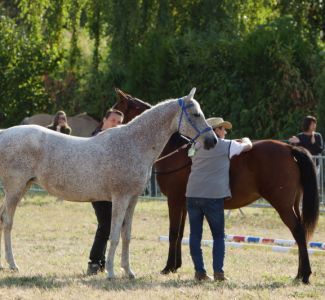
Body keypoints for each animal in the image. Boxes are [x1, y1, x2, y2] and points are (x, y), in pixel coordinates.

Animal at [0, 88, 218, 278]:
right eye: (196, 114)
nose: (212, 141)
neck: (133, 144)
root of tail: (5, 133)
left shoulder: (132, 200)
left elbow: (126, 235)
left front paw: (128, 272)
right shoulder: (120, 198)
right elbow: (113, 235)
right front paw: (112, 273)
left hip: (23, 187)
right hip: (14, 189)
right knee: (8, 222)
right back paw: (13, 264)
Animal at [112, 88, 318, 282]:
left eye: (118, 111)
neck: (178, 153)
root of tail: (290, 148)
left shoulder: (174, 200)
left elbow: (173, 233)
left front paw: (168, 267)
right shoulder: (185, 204)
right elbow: (181, 234)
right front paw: (176, 265)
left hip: (283, 205)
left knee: (298, 232)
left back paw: (305, 274)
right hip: (293, 204)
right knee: (301, 234)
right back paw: (300, 273)